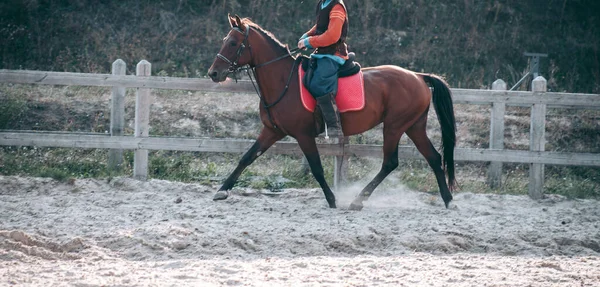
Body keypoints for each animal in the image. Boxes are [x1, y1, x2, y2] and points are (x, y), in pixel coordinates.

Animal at [206, 14, 454, 210]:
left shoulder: (303, 135)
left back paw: (358, 201)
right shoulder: (272, 131)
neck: (283, 81)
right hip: (414, 126)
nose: (213, 73)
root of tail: (418, 76)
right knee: (433, 157)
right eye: (225, 41)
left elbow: (316, 168)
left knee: (390, 162)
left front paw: (332, 199)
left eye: (233, 43)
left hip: (394, 127)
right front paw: (222, 190)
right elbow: (247, 157)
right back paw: (448, 200)